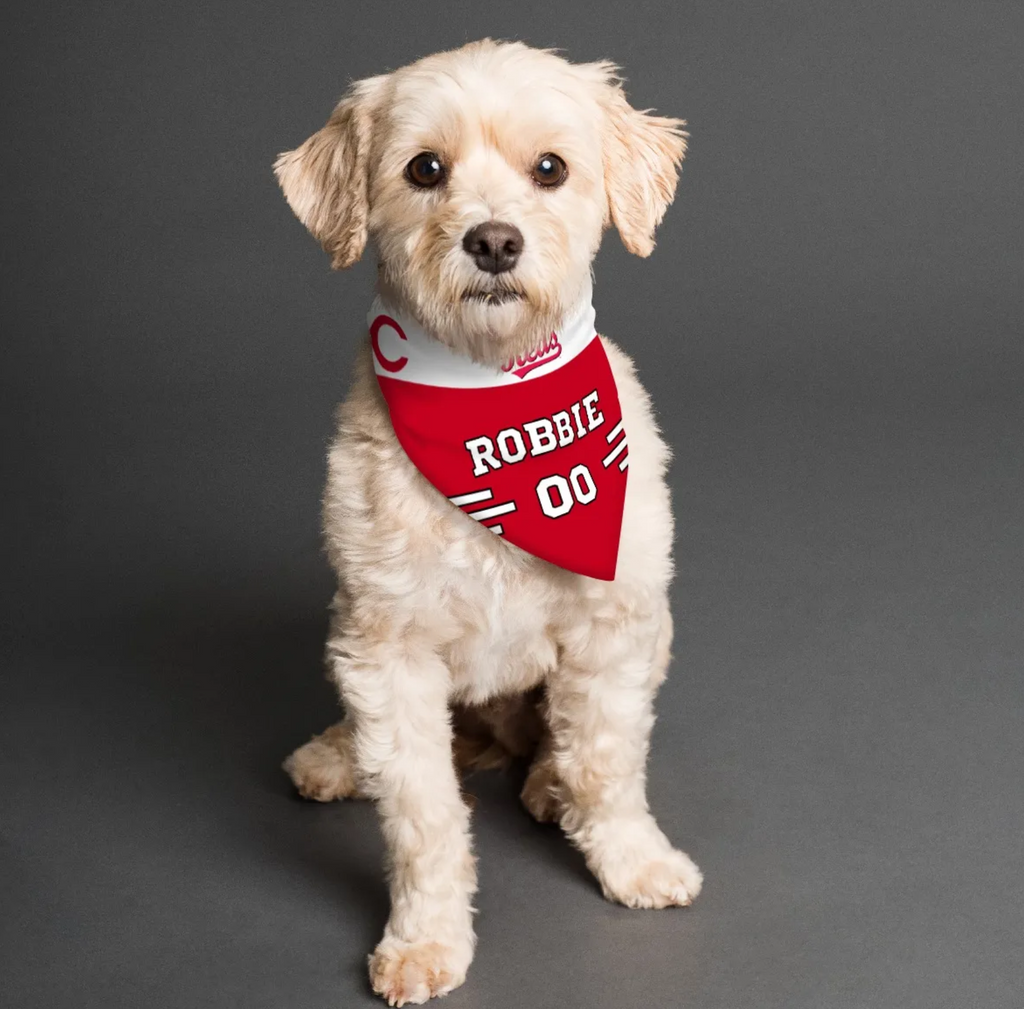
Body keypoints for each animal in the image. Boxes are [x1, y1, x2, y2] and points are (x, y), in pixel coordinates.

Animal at [276, 37, 700, 999]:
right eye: (424, 169)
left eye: (551, 168)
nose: (495, 241)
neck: (491, 390)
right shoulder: (387, 649)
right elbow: (421, 814)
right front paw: (426, 936)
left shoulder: (616, 625)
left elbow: (606, 760)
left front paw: (630, 857)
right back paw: (337, 755)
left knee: (558, 743)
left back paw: (546, 784)